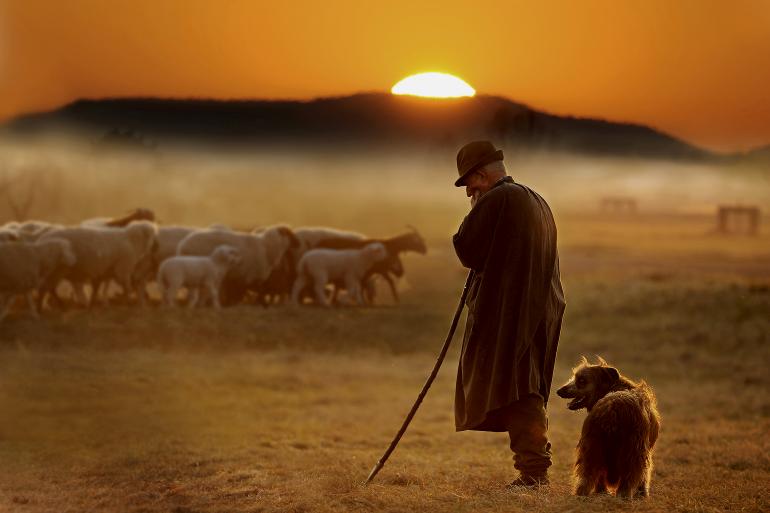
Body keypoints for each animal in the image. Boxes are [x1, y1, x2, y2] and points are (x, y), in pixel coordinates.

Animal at [556, 356, 656, 496]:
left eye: (581, 380)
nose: (559, 391)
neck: (615, 387)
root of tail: (612, 407)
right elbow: (644, 476)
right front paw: (642, 494)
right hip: (633, 453)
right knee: (627, 480)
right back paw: (624, 496)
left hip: (592, 447)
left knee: (588, 478)